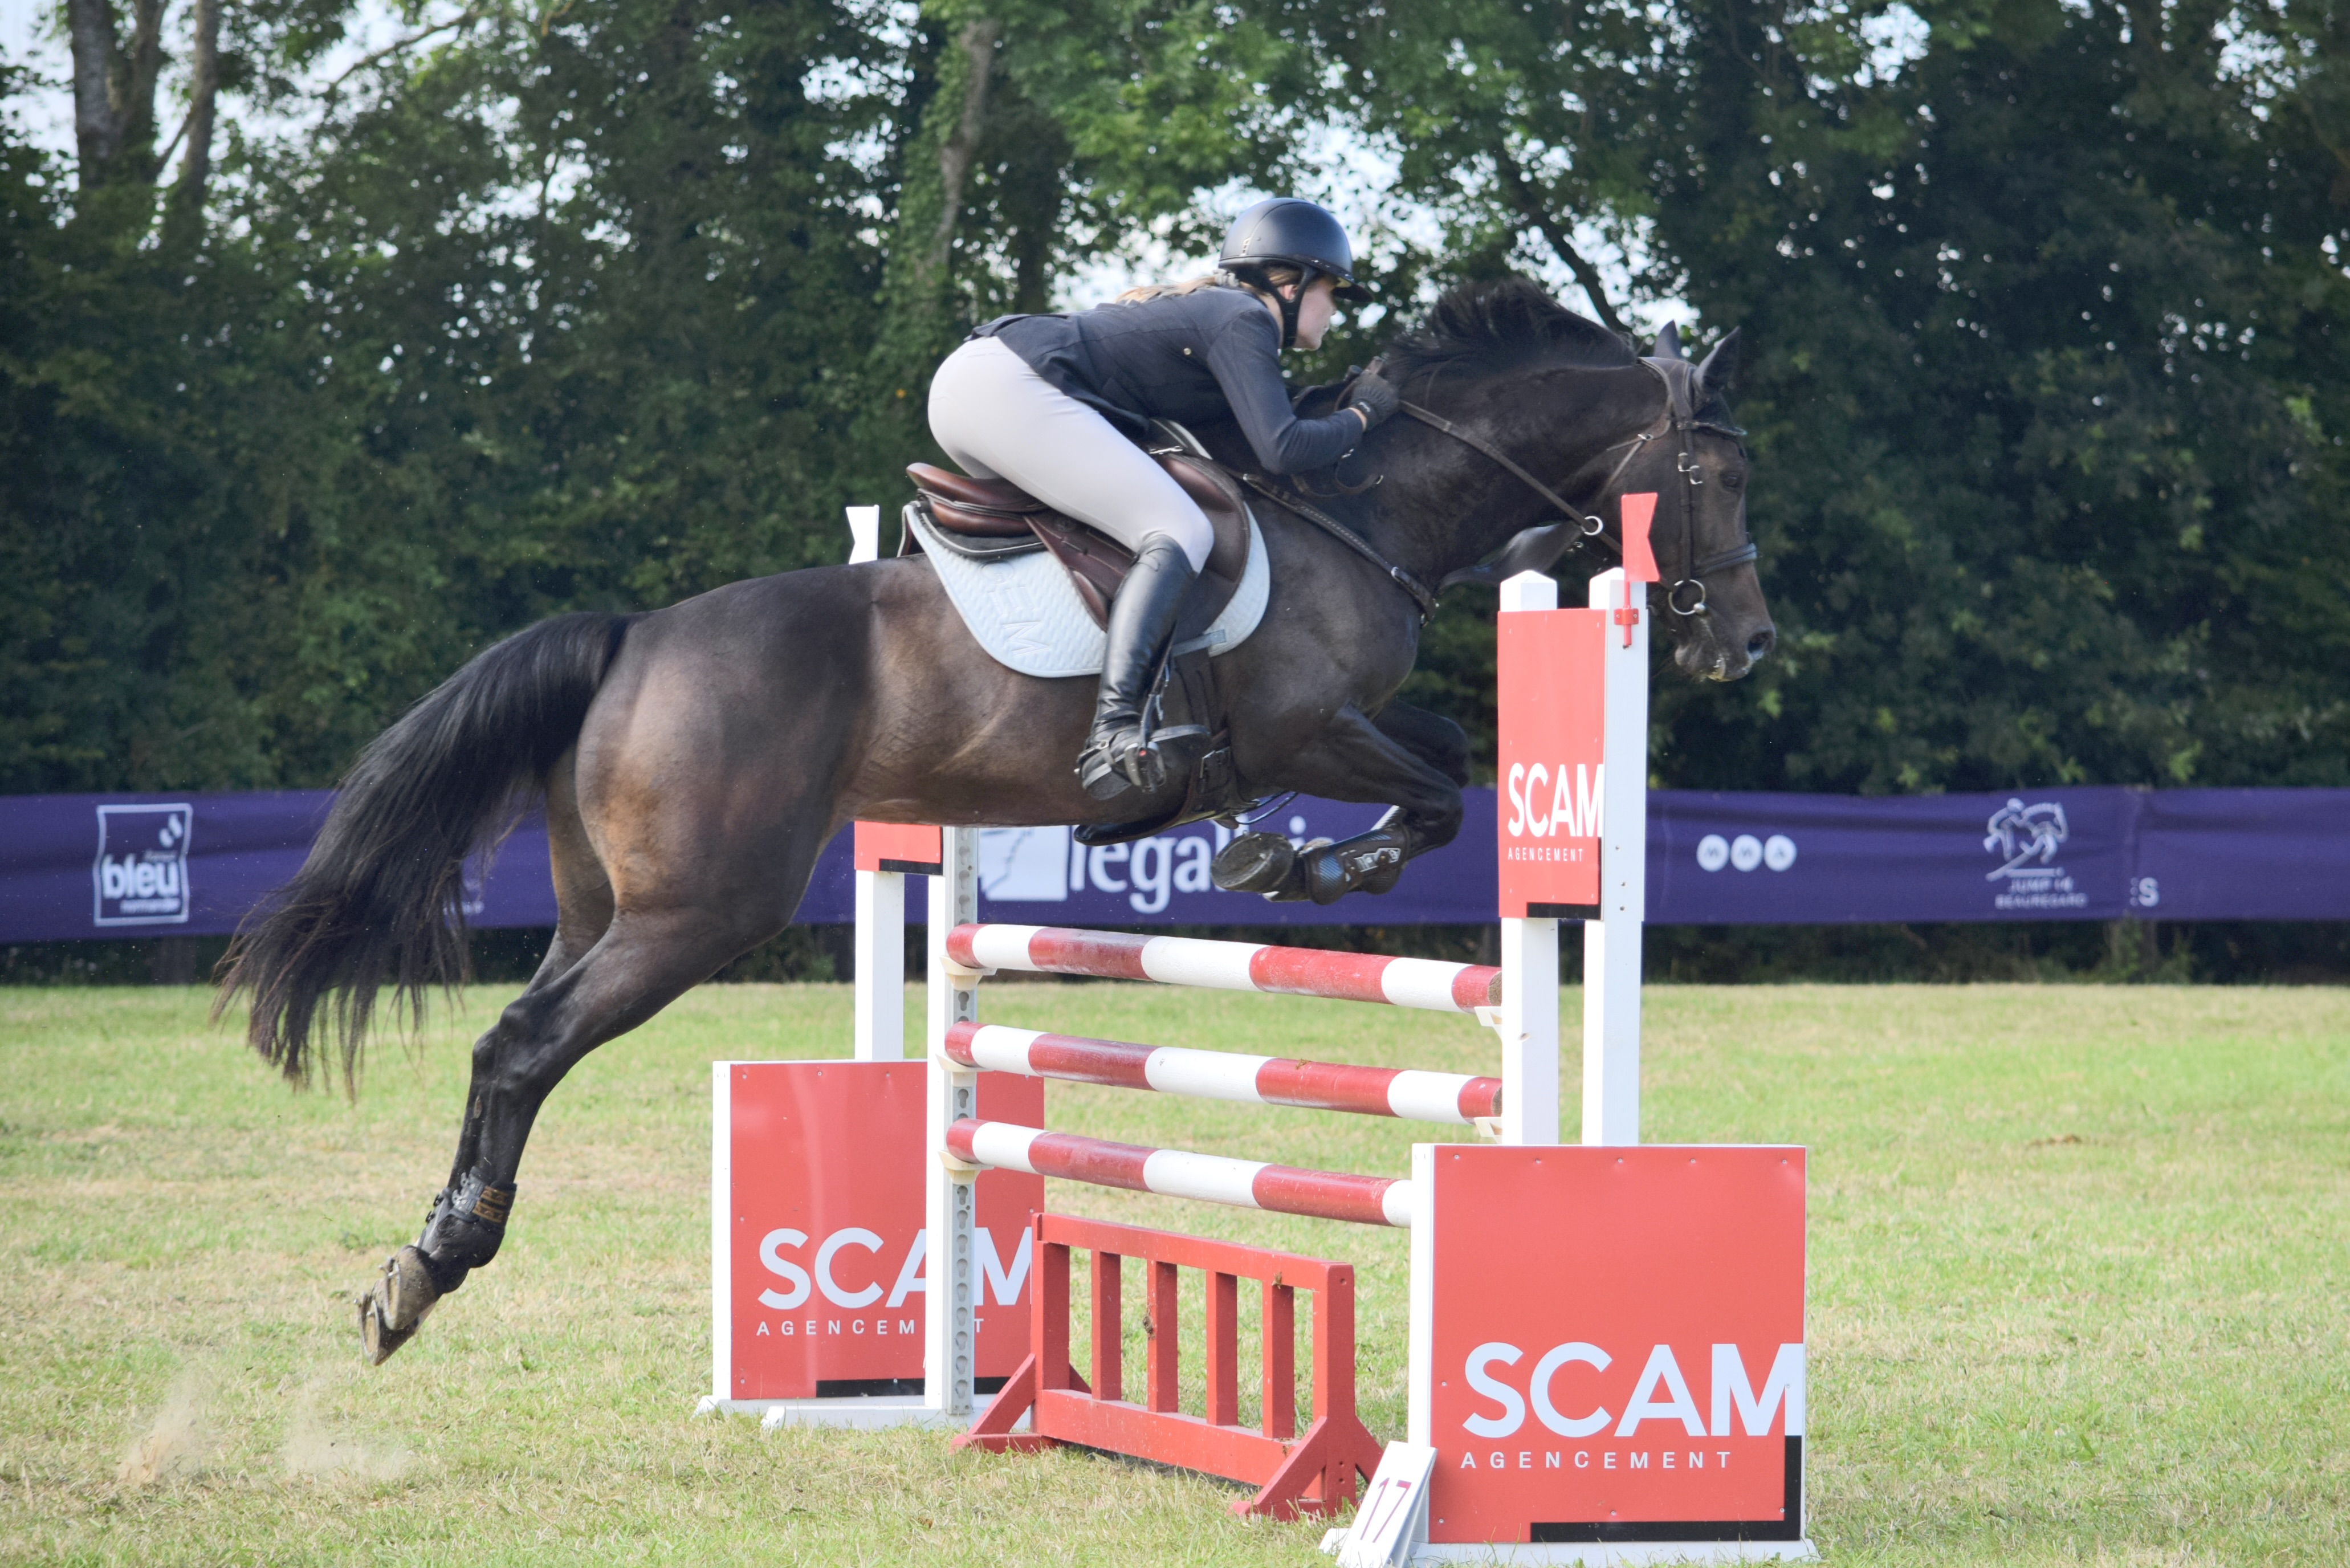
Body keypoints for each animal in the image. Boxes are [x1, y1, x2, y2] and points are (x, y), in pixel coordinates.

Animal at [215, 276, 1774, 1363]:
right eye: (1723, 472)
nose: (1742, 645)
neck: (1368, 509)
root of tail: (633, 637)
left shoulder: (1339, 727)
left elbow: (1447, 759)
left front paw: (1292, 851)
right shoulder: (1306, 725)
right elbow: (1439, 794)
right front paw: (1305, 857)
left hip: (611, 905)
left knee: (515, 1040)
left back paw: (414, 1268)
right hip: (697, 913)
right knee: (523, 1044)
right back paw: (436, 1264)